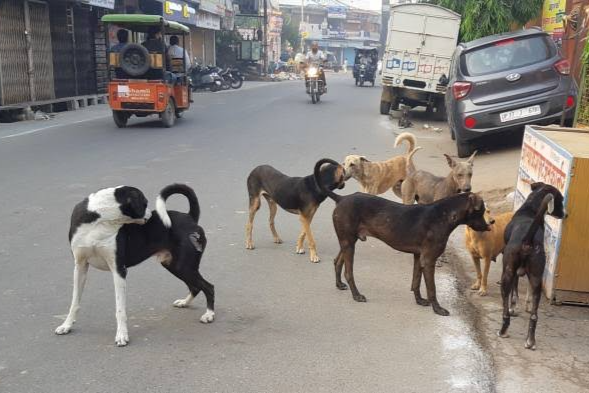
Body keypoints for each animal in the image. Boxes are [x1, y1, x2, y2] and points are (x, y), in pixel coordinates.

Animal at [55, 182, 215, 344]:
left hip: (184, 266)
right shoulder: (80, 267)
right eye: (145, 203)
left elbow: (120, 309)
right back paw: (185, 302)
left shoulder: (119, 270)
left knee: (208, 287)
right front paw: (66, 325)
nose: (150, 214)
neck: (99, 221)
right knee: (196, 287)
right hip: (175, 266)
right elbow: (74, 302)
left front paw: (121, 335)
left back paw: (209, 314)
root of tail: (190, 217)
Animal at [312, 158, 492, 314]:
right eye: (481, 210)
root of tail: (341, 198)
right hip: (349, 243)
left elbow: (416, 281)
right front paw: (437, 308)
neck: (444, 214)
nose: (489, 226)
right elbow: (432, 289)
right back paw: (356, 295)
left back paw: (339, 284)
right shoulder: (429, 259)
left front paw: (419, 300)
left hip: (348, 241)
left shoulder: (419, 257)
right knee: (349, 272)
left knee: (337, 261)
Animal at [496, 181, 564, 350]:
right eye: (561, 199)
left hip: (507, 274)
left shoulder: (513, 273)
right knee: (534, 316)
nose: (565, 214)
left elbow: (514, 294)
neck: (531, 209)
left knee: (505, 311)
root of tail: (527, 239)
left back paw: (503, 331)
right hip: (536, 278)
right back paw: (530, 341)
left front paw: (514, 308)